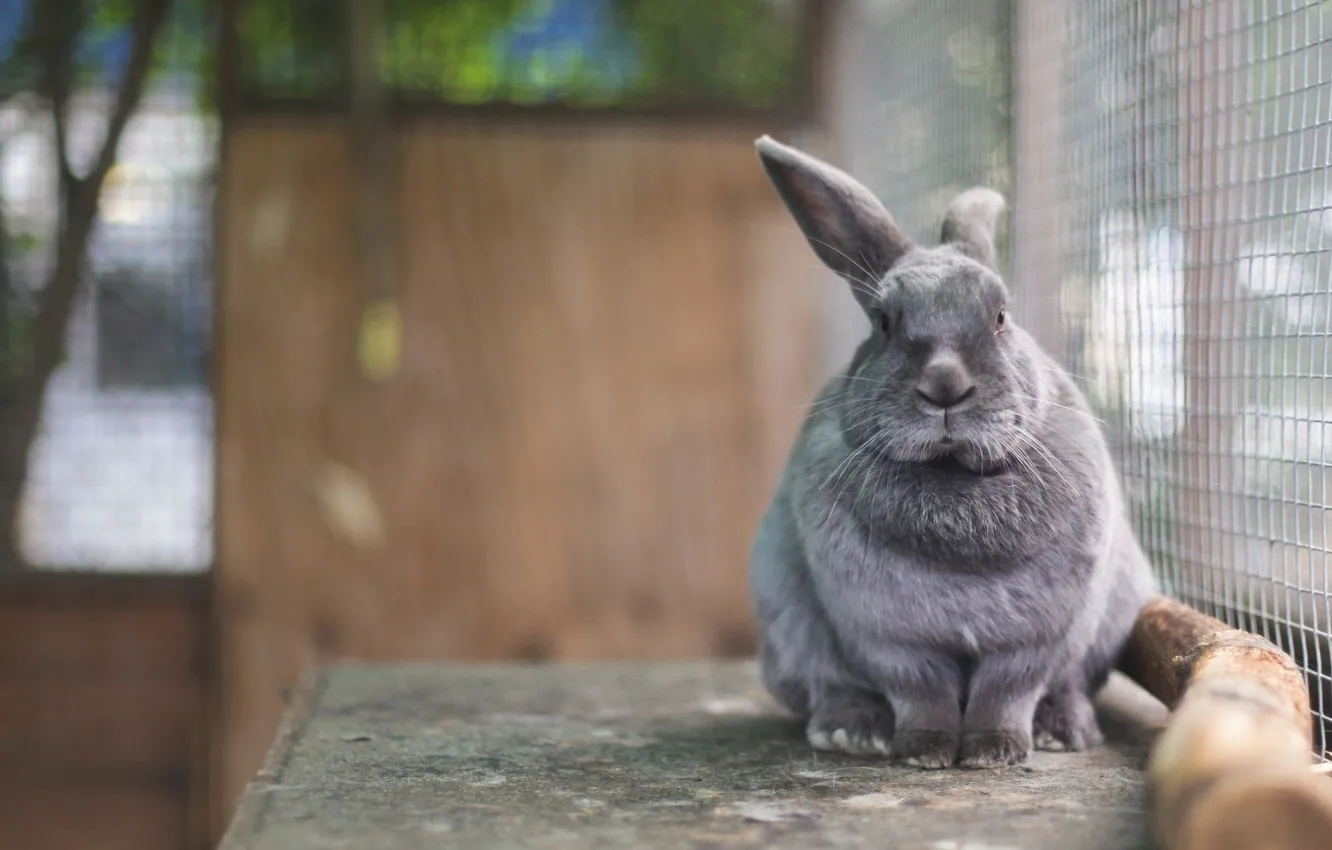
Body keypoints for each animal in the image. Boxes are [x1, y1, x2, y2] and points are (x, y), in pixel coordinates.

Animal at [751, 134, 1156, 772]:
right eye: (884, 322)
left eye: (1001, 316)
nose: (945, 386)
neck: (953, 476)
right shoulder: (889, 637)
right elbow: (922, 693)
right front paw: (926, 752)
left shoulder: (1035, 640)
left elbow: (1006, 693)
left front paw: (994, 752)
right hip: (787, 624)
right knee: (828, 682)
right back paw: (851, 731)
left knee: (1070, 684)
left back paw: (1064, 730)